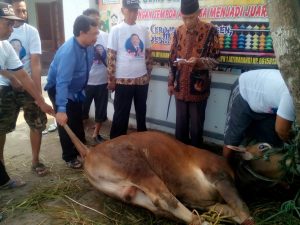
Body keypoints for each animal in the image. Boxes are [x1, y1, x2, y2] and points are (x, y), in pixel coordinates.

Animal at [64, 125, 254, 224]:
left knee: (161, 206)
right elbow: (241, 206)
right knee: (166, 199)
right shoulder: (220, 177)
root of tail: (89, 151)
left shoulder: (206, 202)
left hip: (130, 193)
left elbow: (230, 209)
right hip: (139, 168)